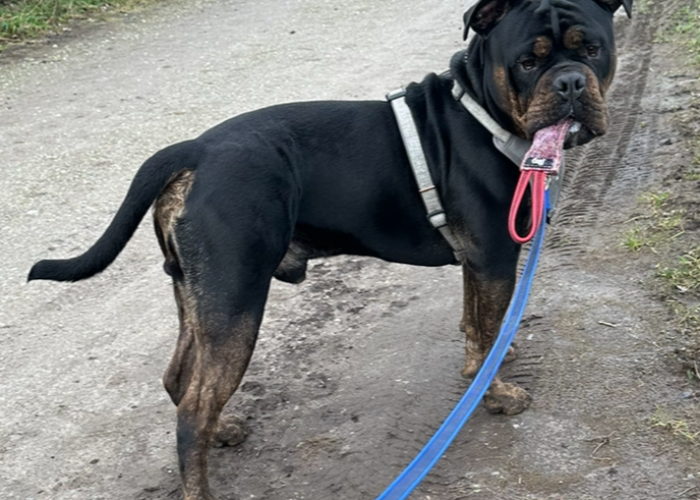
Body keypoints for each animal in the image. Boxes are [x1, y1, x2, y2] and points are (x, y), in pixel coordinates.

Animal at [30, 1, 636, 498]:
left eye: (592, 49)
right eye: (528, 63)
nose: (571, 83)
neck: (484, 113)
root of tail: (196, 149)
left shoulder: (476, 265)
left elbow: (474, 326)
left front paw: (481, 373)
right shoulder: (494, 259)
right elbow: (488, 331)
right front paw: (498, 392)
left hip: (196, 296)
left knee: (181, 380)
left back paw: (223, 429)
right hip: (236, 299)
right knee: (193, 410)